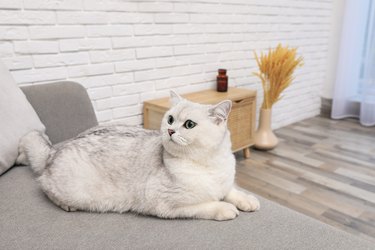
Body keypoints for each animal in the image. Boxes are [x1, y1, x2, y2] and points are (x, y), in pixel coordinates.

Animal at [17, 91, 258, 220]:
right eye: (170, 119)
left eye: (189, 124)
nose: (170, 131)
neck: (208, 163)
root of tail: (52, 151)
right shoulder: (167, 204)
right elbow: (207, 204)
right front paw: (225, 208)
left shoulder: (224, 183)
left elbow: (232, 190)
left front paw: (247, 199)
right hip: (73, 190)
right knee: (44, 186)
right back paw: (66, 205)